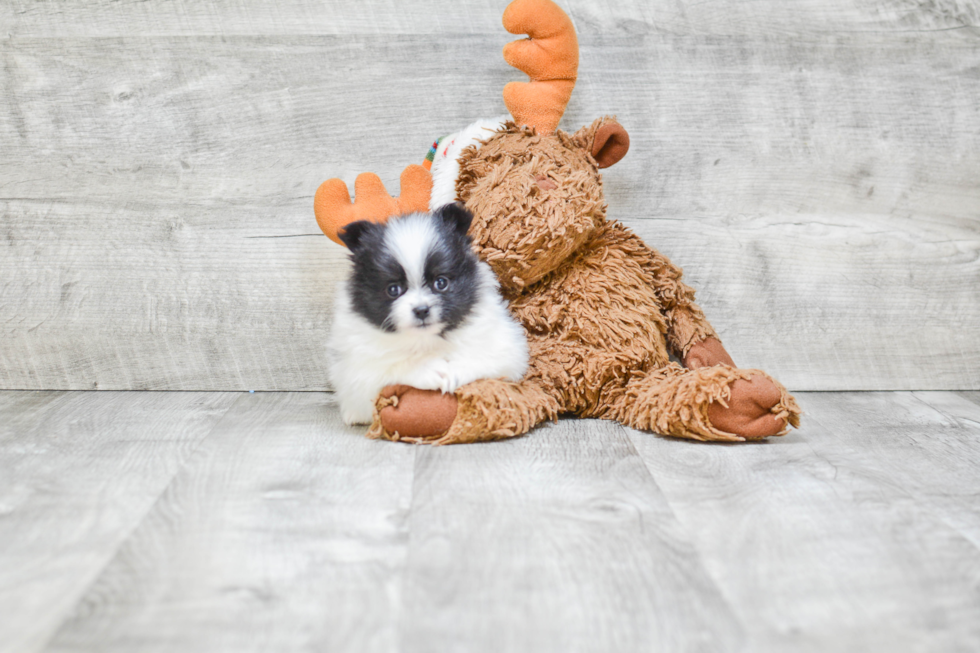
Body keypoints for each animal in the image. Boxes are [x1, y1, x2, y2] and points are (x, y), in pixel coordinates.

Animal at [328, 205, 528, 428]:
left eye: (441, 283)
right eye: (393, 289)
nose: (421, 310)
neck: (425, 339)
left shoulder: (505, 349)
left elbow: (485, 358)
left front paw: (456, 369)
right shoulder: (357, 374)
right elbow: (391, 367)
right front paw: (428, 369)